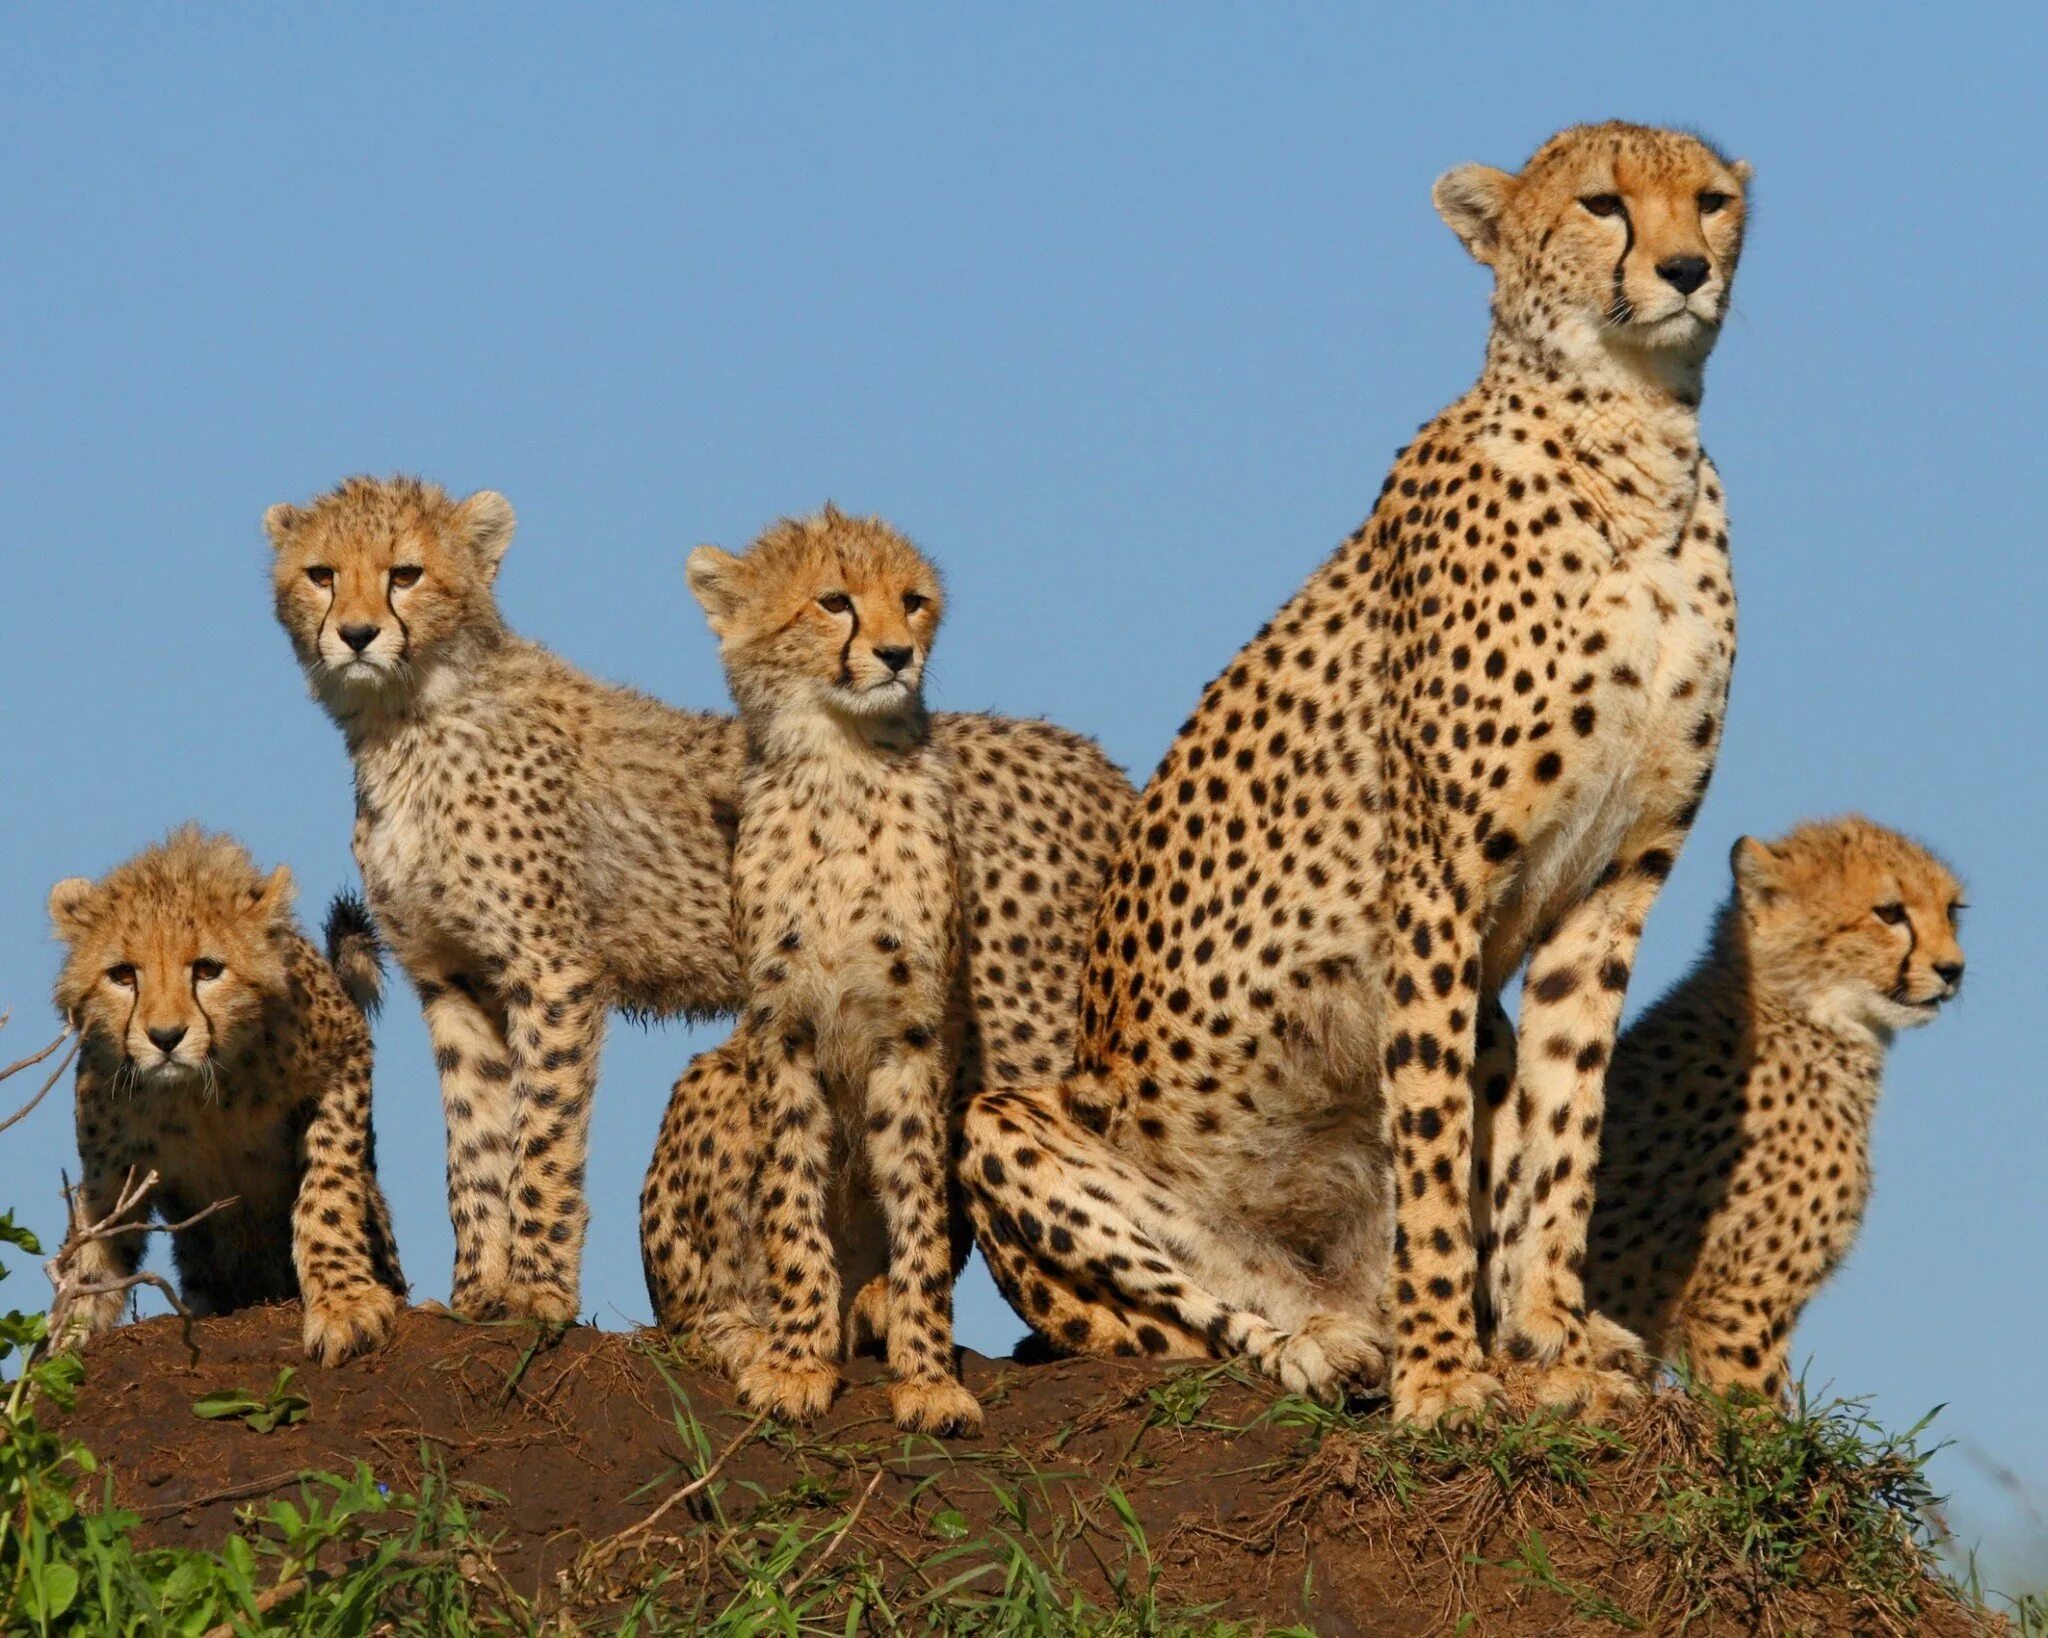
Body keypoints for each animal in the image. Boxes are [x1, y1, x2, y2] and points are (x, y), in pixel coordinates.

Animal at [50, 827, 403, 1359]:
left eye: (207, 970)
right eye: (123, 975)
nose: (166, 1037)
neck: (198, 1092)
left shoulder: (345, 1056)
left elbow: (326, 1189)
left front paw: (344, 1305)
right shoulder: (108, 1171)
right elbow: (93, 1255)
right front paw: (61, 1343)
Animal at [264, 479, 1130, 1326]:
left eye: (406, 574)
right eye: (322, 575)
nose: (358, 635)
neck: (408, 722)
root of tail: (1094, 760)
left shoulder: (554, 971)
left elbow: (541, 1132)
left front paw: (540, 1293)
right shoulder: (450, 977)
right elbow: (473, 1141)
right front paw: (480, 1288)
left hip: (1018, 1012)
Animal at [647, 501, 983, 1433]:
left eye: (914, 602)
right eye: (835, 601)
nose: (898, 655)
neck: (843, 762)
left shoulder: (914, 1038)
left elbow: (918, 1211)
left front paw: (928, 1373)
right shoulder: (779, 1028)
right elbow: (791, 1204)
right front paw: (798, 1359)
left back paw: (868, 1305)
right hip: (713, 1077)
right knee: (688, 1306)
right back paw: (746, 1329)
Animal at [958, 121, 1744, 1416]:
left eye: (1712, 201)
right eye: (1601, 205)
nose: (1683, 270)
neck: (1635, 442)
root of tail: (1316, 1281)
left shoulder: (1611, 886)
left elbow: (1562, 1129)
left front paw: (1550, 1345)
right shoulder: (1432, 883)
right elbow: (1429, 1149)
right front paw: (1443, 1382)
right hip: (1019, 1134)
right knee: (1180, 1321)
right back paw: (1323, 1347)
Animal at [1581, 814, 1966, 1392]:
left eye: (1952, 911)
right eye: (1890, 912)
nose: (1953, 969)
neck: (1801, 1012)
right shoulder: (1738, 1299)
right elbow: (1758, 1405)